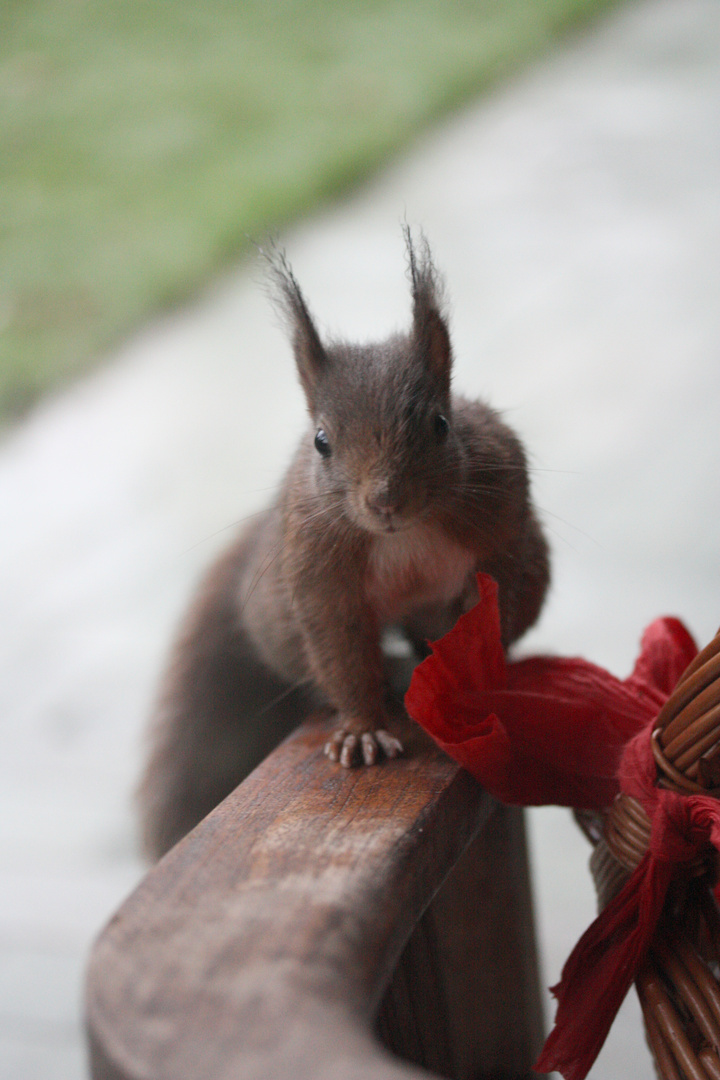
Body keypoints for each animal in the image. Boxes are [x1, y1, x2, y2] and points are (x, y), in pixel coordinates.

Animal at [138, 230, 548, 859]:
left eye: (440, 424)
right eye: (321, 441)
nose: (385, 501)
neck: (403, 539)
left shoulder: (504, 508)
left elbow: (501, 590)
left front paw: (473, 643)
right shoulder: (320, 574)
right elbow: (340, 650)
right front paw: (361, 731)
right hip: (279, 621)